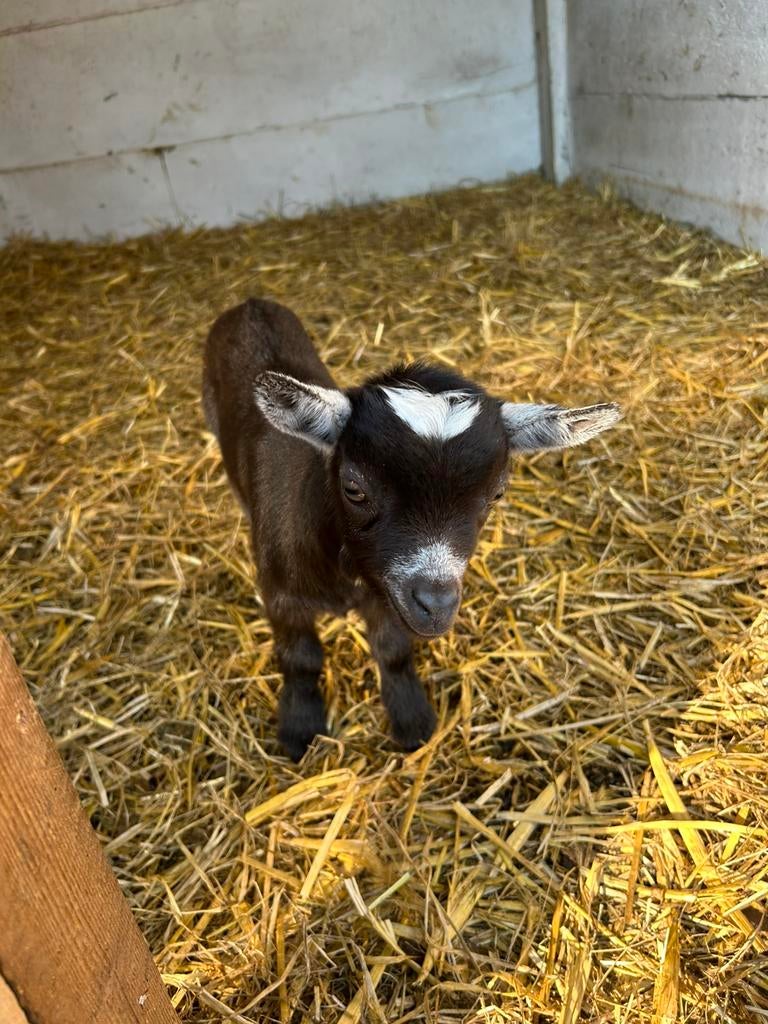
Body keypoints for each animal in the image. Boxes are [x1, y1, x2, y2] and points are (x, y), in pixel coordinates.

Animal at [203, 298, 621, 760]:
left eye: (497, 493)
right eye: (354, 487)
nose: (436, 605)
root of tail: (251, 303)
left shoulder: (388, 595)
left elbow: (394, 652)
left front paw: (412, 721)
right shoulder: (282, 596)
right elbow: (301, 658)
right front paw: (300, 730)